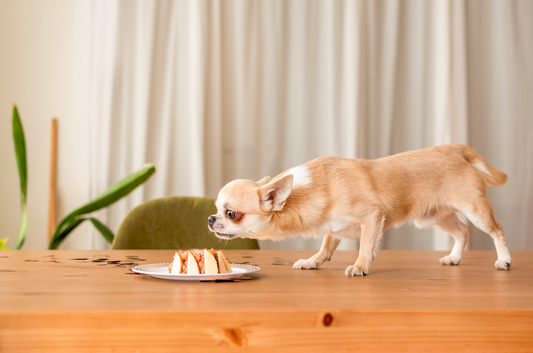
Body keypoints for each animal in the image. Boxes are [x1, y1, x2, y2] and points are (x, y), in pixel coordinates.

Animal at [208, 143, 512, 276]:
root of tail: (455, 149)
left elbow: (366, 245)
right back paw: (455, 258)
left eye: (231, 214)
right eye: (216, 209)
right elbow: (326, 246)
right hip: (434, 217)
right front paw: (313, 261)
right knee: (462, 231)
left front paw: (360, 265)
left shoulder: (372, 218)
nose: (210, 219)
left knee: (496, 230)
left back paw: (504, 260)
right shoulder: (333, 228)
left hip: (475, 209)